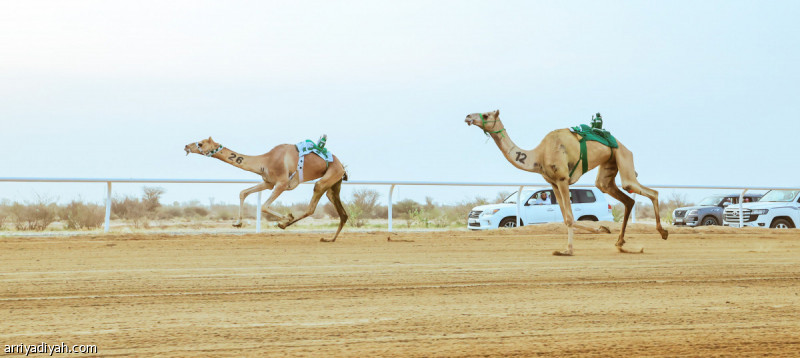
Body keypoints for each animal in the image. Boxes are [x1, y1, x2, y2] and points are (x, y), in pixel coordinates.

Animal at [189, 136, 352, 242]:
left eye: (200, 143)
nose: (186, 146)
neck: (266, 161)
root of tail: (342, 166)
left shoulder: (282, 183)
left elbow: (264, 206)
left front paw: (287, 217)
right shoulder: (268, 183)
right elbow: (243, 193)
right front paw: (237, 223)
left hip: (328, 178)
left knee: (312, 206)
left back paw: (284, 224)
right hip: (334, 184)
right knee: (342, 213)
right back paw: (330, 239)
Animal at [462, 109, 668, 255]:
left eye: (486, 115)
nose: (468, 117)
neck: (539, 155)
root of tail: (622, 145)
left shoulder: (563, 179)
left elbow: (569, 218)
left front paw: (567, 250)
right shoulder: (553, 183)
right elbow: (565, 218)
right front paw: (603, 228)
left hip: (623, 157)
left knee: (646, 191)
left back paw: (663, 232)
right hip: (609, 167)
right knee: (625, 197)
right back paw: (620, 243)